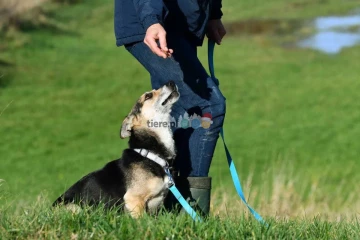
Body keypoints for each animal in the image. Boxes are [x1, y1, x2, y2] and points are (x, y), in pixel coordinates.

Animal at [53, 80, 180, 218]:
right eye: (148, 96)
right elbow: (142, 220)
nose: (171, 82)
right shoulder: (133, 199)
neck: (150, 153)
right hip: (74, 207)